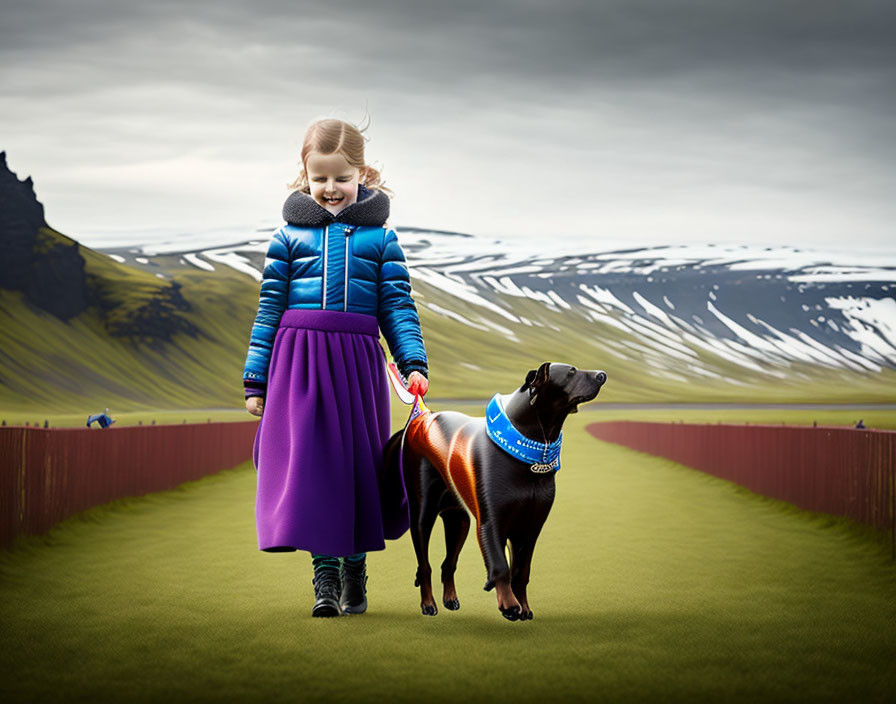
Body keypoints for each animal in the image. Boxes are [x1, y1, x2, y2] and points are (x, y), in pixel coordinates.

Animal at [382, 364, 604, 620]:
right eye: (571, 372)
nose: (602, 375)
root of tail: (423, 416)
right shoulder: (491, 522)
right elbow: (500, 565)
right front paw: (509, 605)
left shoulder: (531, 527)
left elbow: (521, 571)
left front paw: (524, 607)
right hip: (423, 515)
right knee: (424, 564)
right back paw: (428, 604)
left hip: (459, 520)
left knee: (448, 563)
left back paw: (450, 599)